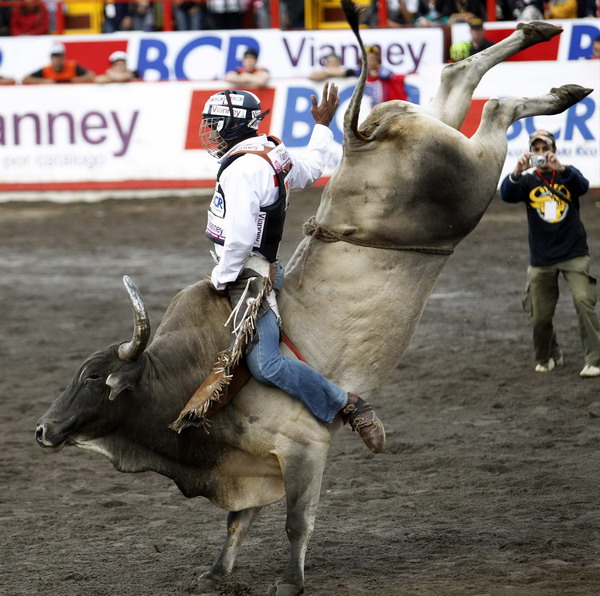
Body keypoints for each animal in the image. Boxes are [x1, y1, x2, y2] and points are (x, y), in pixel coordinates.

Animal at [35, 2, 592, 592]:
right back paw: (544, 51)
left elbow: (296, 521)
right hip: (438, 132)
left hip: (470, 179)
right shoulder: (256, 468)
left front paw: (290, 580)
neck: (193, 380)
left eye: (93, 378)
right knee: (455, 76)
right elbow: (238, 521)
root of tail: (360, 138)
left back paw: (556, 87)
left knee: (498, 108)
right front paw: (217, 572)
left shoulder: (304, 448)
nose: (42, 429)